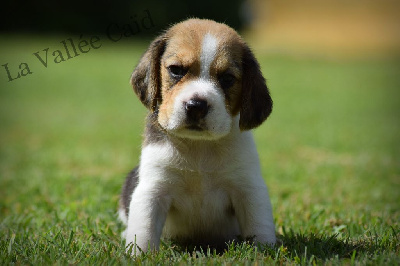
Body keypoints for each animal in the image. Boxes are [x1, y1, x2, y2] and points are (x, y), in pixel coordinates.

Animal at [119, 18, 276, 254]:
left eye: (227, 78)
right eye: (176, 70)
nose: (196, 105)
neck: (199, 147)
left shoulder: (249, 189)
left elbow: (260, 226)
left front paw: (265, 253)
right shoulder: (153, 189)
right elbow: (143, 230)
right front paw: (140, 255)